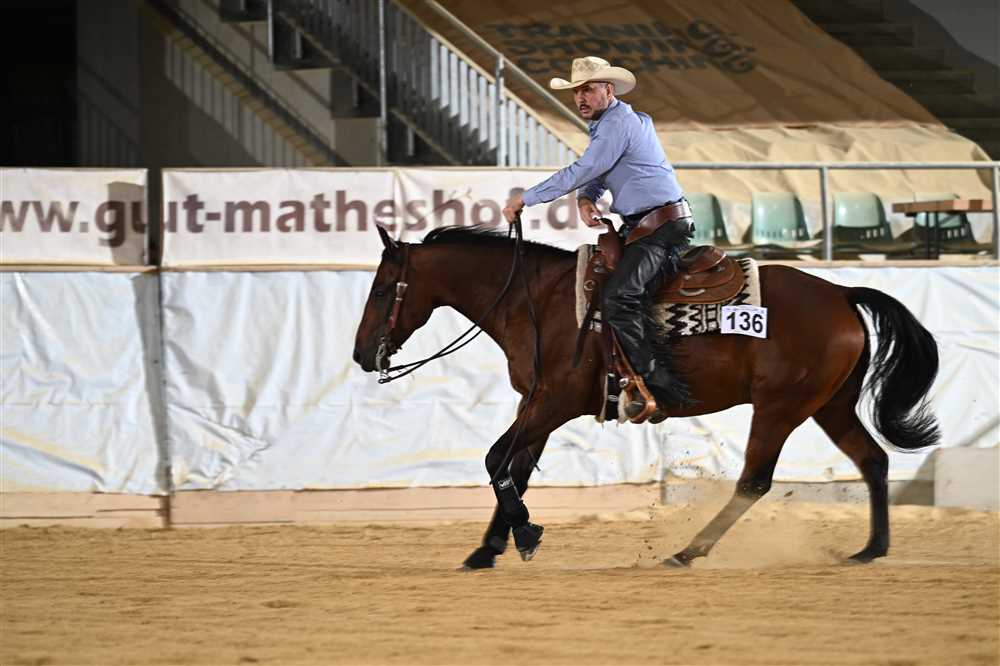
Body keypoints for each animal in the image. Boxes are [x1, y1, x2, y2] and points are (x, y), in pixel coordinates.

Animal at [352, 224, 940, 569]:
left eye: (380, 289)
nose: (361, 355)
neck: (536, 300)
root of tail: (841, 292)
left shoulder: (555, 401)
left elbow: (496, 458)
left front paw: (523, 535)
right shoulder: (535, 403)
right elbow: (513, 468)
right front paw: (489, 547)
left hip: (781, 407)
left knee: (754, 481)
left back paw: (687, 552)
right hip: (830, 406)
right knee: (873, 460)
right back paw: (871, 549)